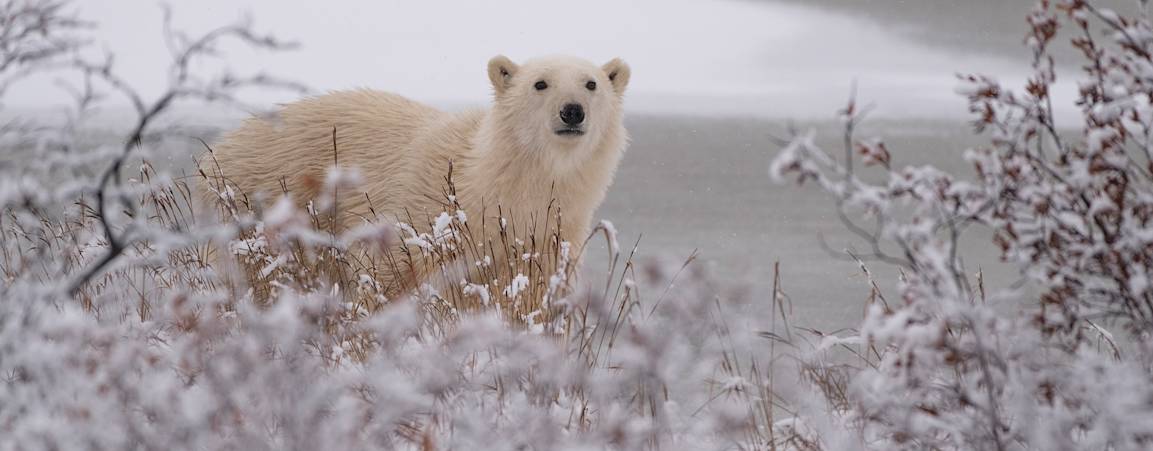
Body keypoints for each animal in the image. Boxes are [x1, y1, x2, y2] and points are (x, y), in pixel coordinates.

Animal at [198, 55, 631, 295]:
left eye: (591, 83)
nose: (572, 110)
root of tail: (219, 148)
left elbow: (529, 290)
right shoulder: (424, 212)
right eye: (540, 83)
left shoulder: (549, 234)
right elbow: (388, 271)